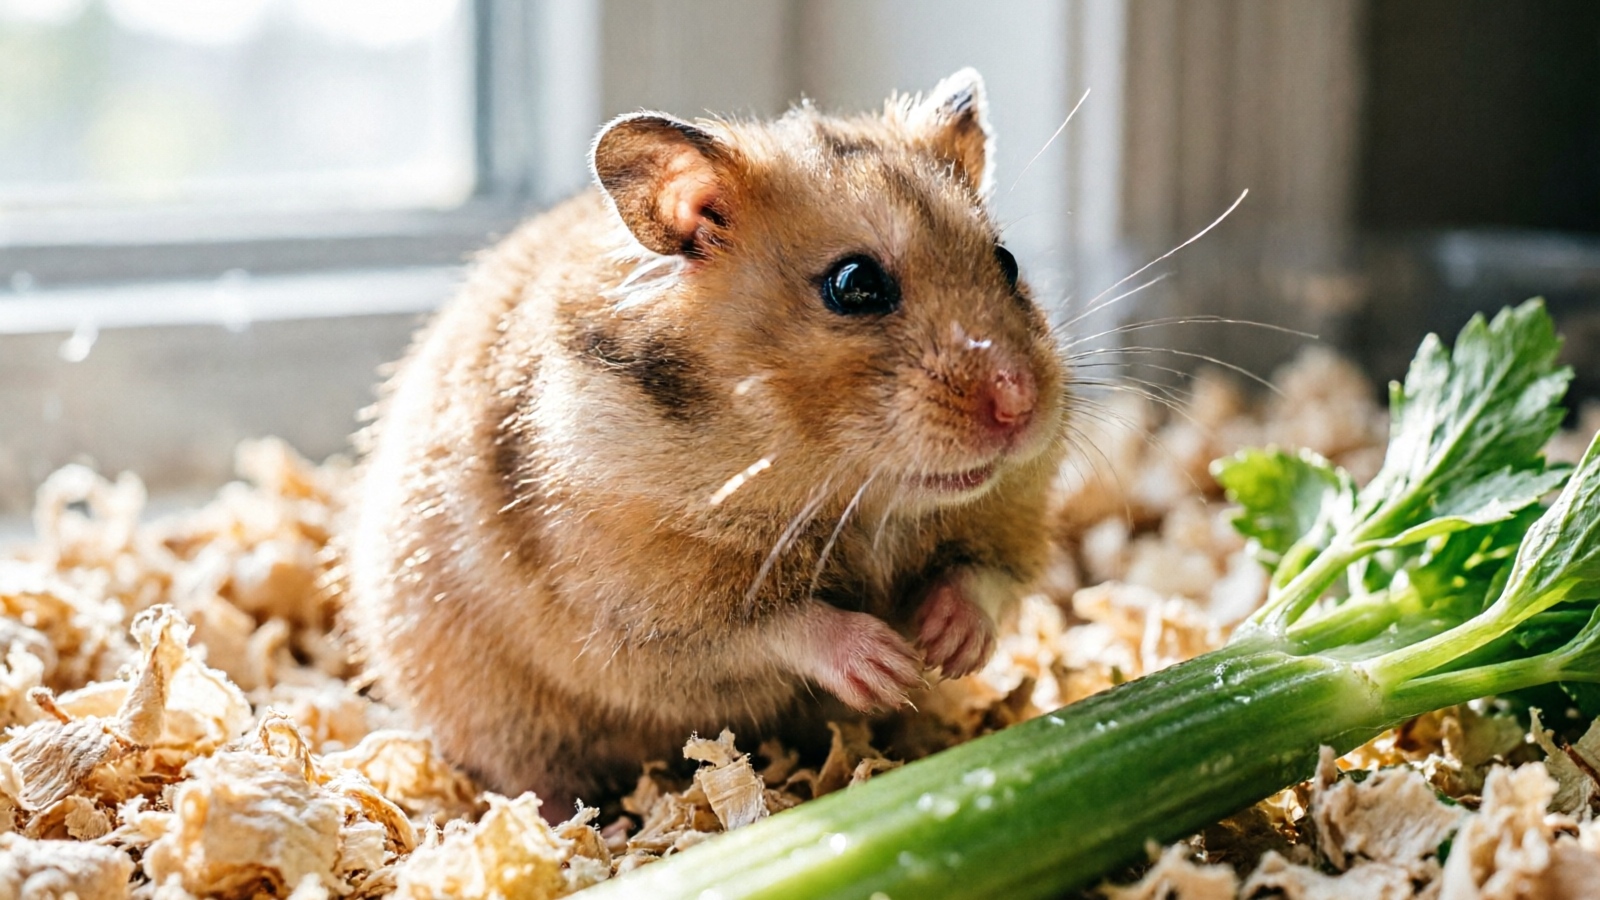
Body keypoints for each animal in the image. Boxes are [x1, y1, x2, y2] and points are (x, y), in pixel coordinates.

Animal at [344, 68, 1068, 814]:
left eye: (1007, 262)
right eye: (854, 284)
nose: (1020, 404)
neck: (847, 494)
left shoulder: (1011, 518)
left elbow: (983, 576)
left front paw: (946, 646)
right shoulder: (650, 610)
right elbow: (778, 625)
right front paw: (886, 664)